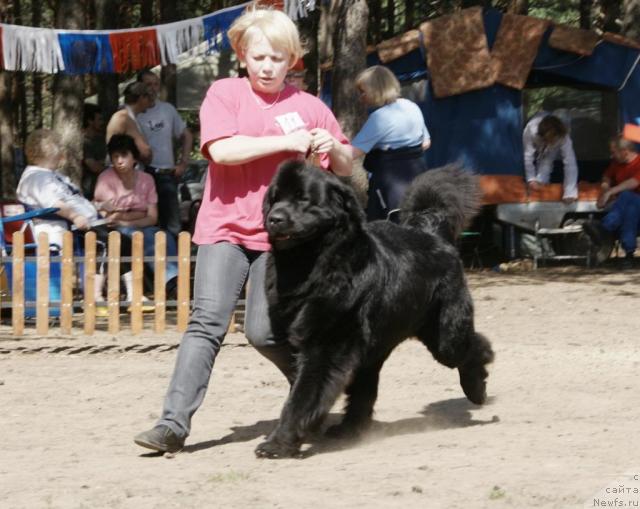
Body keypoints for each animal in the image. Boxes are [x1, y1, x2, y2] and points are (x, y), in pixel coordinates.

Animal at [256, 161, 496, 458]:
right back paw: (349, 429)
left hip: (444, 335)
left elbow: (302, 394)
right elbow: (302, 386)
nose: (275, 218)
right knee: (364, 388)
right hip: (377, 345)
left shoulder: (325, 344)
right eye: (275, 198)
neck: (311, 266)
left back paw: (477, 388)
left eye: (303, 199)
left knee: (472, 348)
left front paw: (278, 443)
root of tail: (430, 231)